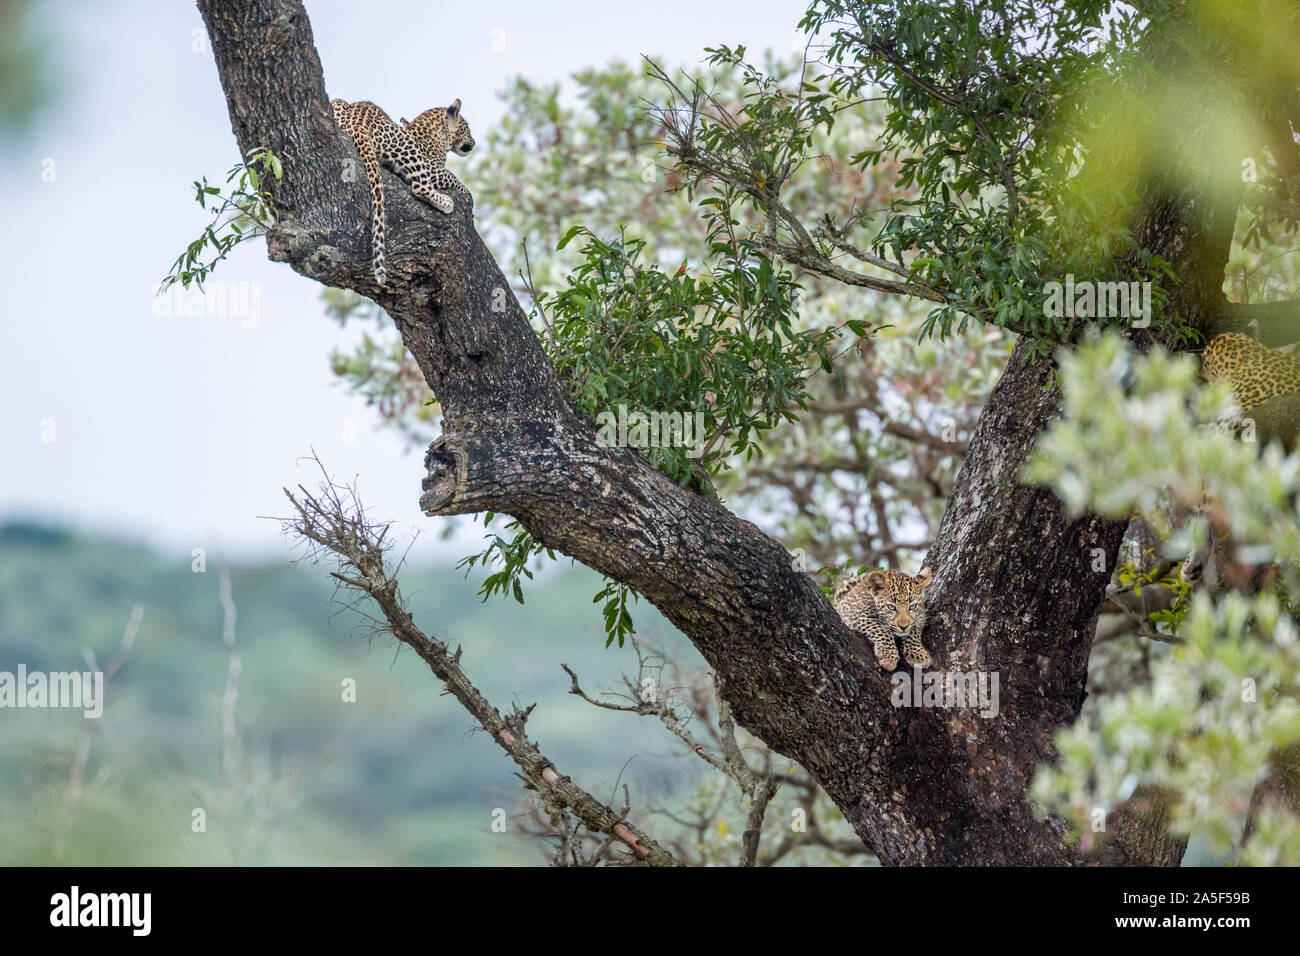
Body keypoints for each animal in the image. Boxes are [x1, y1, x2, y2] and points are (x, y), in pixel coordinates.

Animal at [331, 97, 475, 287]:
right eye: (467, 129)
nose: (474, 142)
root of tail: (357, 120)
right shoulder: (432, 168)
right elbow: (453, 178)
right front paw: (468, 198)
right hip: (406, 146)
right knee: (420, 186)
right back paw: (445, 202)